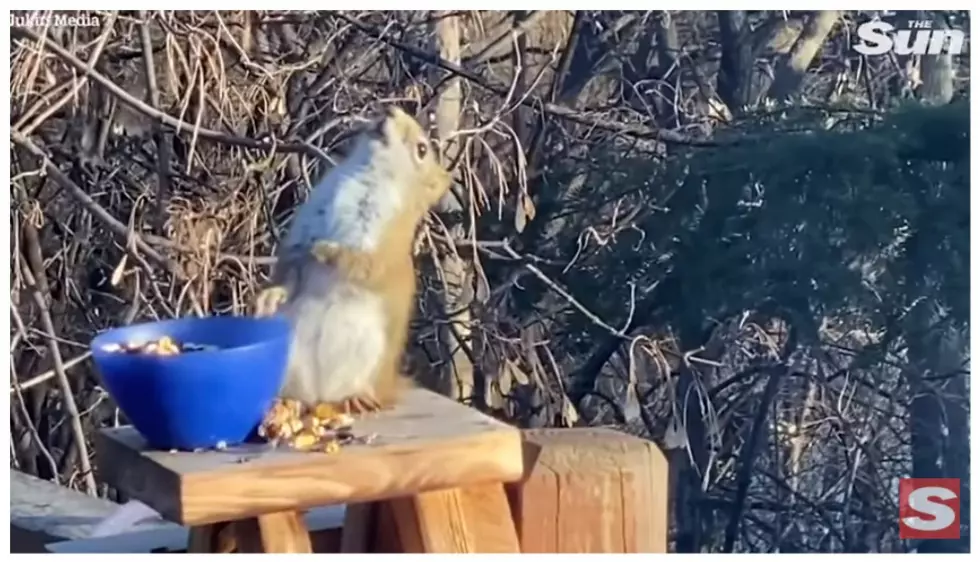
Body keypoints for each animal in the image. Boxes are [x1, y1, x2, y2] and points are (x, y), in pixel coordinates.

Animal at [253, 105, 452, 414]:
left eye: (421, 149)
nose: (389, 111)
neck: (365, 174)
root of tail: (318, 394)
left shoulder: (385, 244)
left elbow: (363, 266)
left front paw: (324, 249)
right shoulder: (304, 226)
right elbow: (292, 265)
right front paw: (272, 295)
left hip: (368, 360)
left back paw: (355, 398)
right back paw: (281, 402)